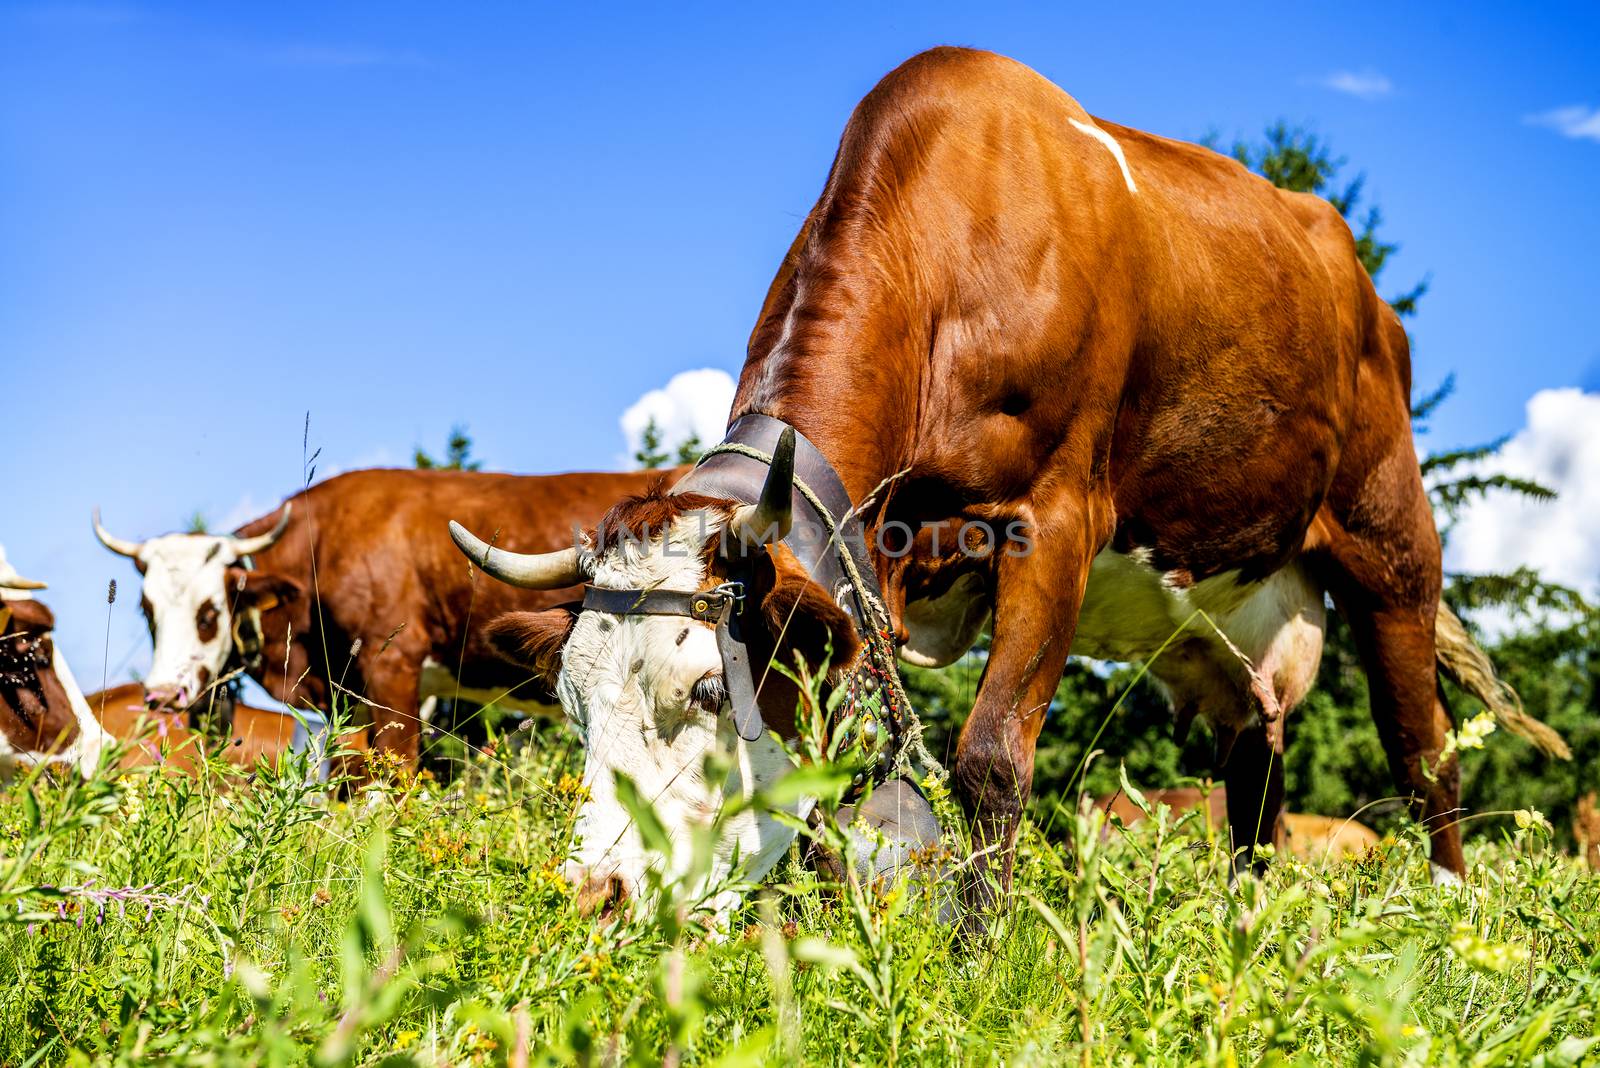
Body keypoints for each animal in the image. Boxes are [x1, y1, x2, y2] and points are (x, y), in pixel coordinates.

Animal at [454, 47, 1561, 920]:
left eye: (705, 690)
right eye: (569, 700)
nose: (595, 895)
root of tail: (1351, 272)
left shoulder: (1055, 521)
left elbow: (990, 758)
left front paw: (978, 957)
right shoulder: (873, 575)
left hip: (1391, 543)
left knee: (1425, 751)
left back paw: (1450, 916)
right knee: (1256, 766)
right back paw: (1240, 921)